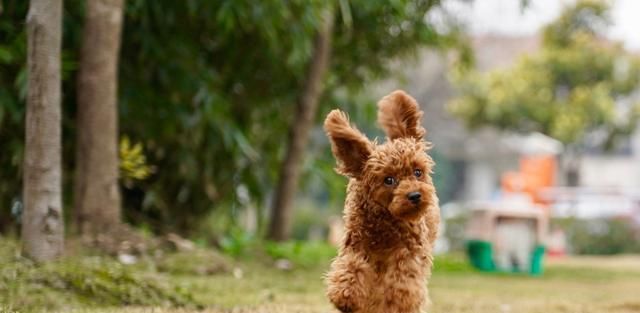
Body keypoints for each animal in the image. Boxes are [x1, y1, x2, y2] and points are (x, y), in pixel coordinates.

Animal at [324, 89, 440, 312]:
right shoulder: (357, 244)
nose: (415, 195)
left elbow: (403, 279)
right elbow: (352, 266)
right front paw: (346, 296)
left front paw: (399, 299)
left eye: (417, 172)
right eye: (389, 180)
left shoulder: (411, 249)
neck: (385, 219)